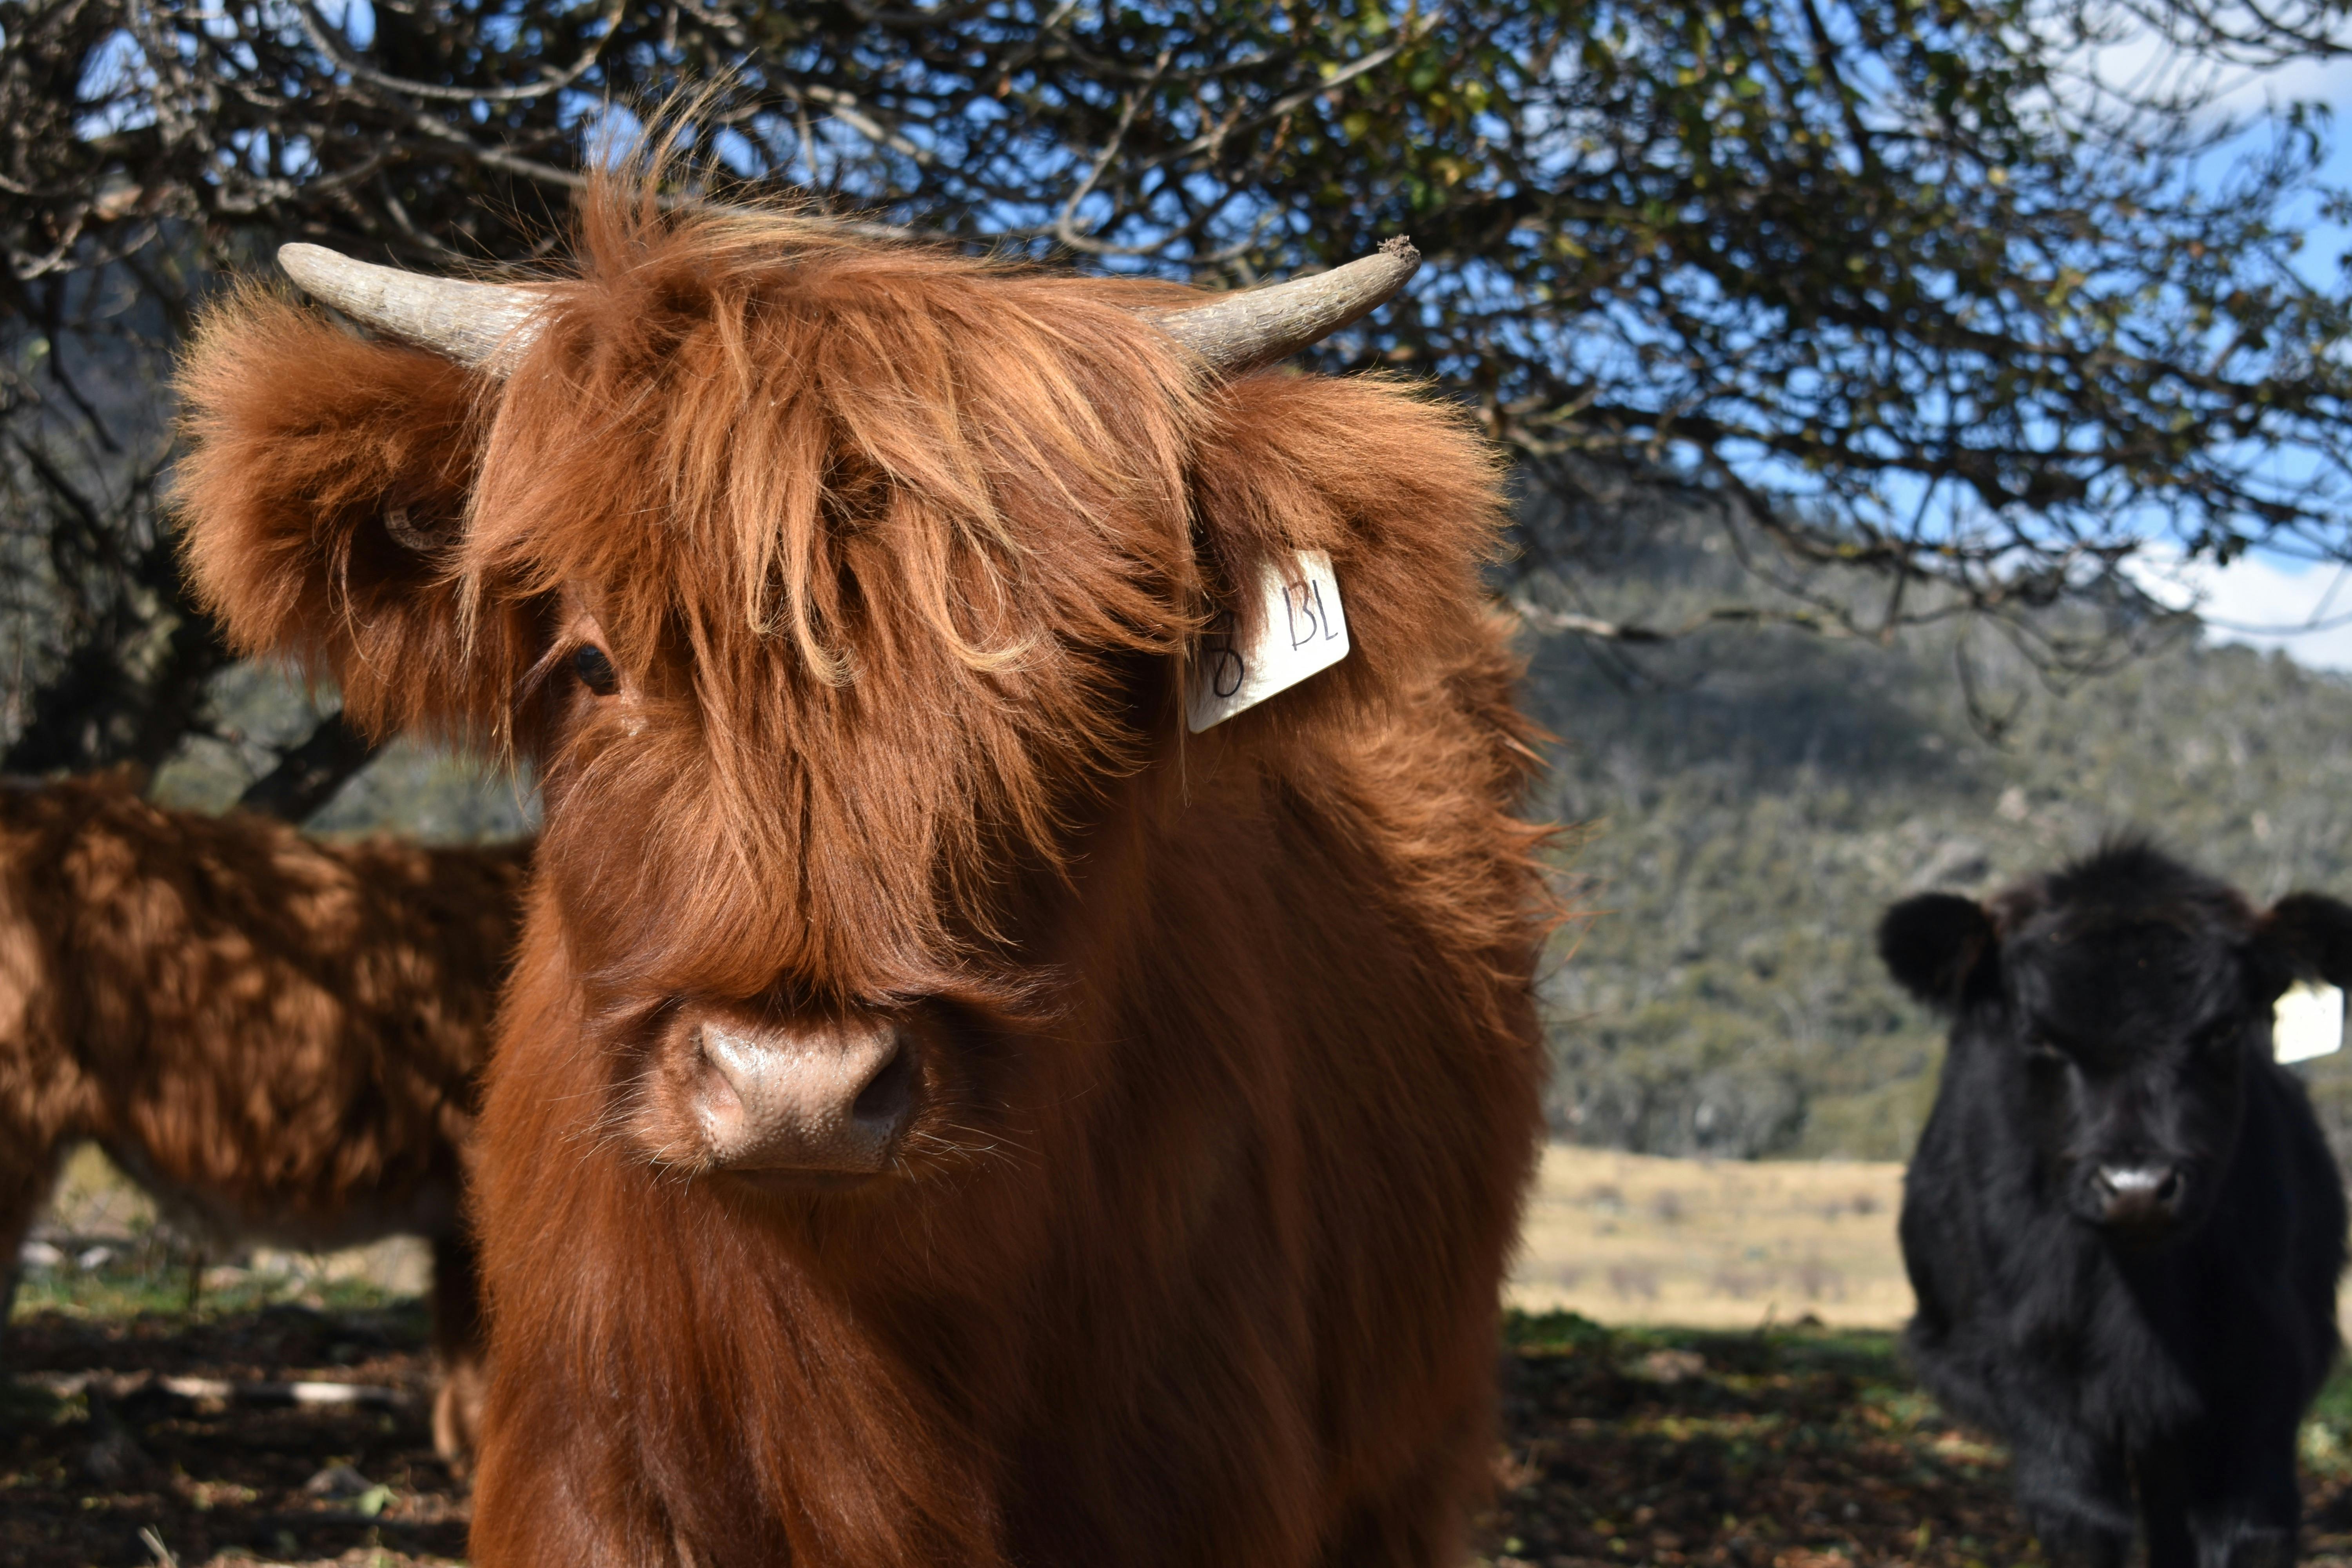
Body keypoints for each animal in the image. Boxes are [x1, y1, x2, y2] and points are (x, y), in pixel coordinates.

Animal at [1880, 842, 2350, 1568]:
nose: (2137, 1186)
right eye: (2039, 1034)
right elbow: (2083, 1522)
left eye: (2225, 1029)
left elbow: (2248, 1527)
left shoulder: (2266, 1364)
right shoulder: (2033, 1369)